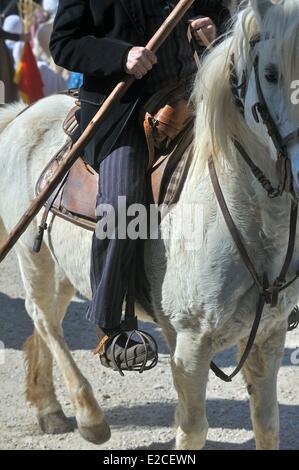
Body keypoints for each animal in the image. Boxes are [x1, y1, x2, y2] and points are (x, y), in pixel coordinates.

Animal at [0, 0, 299, 450]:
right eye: (270, 74)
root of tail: (23, 113)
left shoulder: (270, 335)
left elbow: (267, 424)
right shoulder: (191, 343)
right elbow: (192, 429)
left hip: (64, 266)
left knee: (48, 317)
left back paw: (50, 408)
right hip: (32, 258)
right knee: (44, 319)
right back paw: (89, 415)